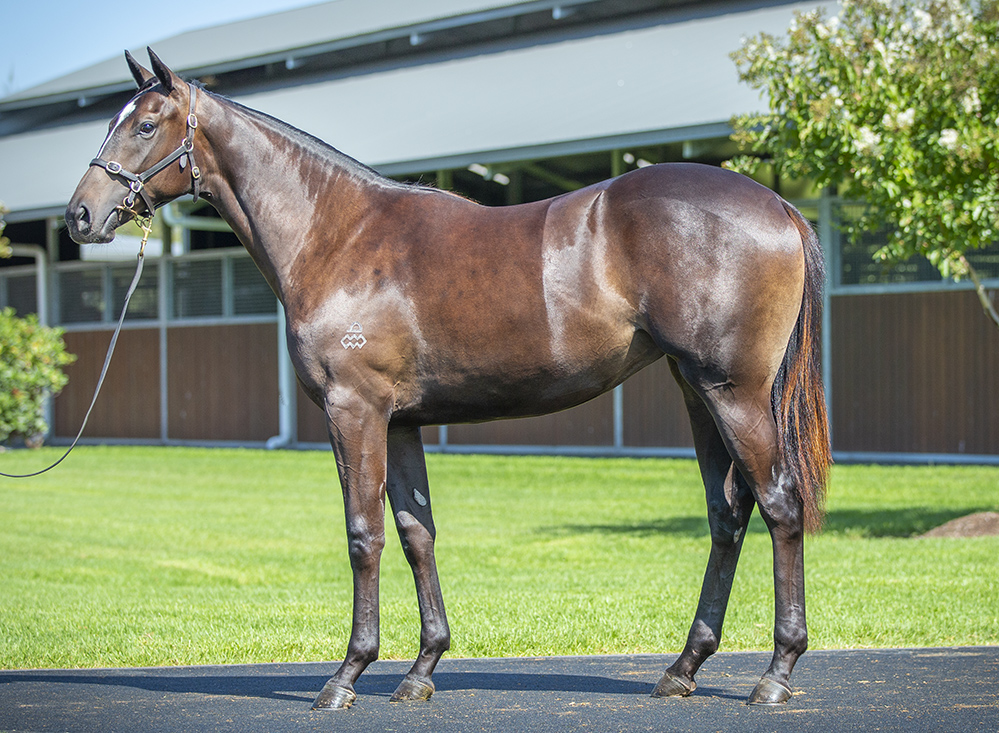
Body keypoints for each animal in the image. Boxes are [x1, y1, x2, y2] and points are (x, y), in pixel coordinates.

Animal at [66, 49, 831, 710]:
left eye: (143, 123)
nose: (80, 215)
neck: (337, 235)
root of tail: (779, 207)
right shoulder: (401, 421)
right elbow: (416, 534)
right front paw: (422, 667)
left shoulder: (354, 411)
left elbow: (363, 535)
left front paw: (346, 674)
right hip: (696, 392)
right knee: (727, 515)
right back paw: (683, 667)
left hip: (733, 394)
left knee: (779, 505)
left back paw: (775, 672)